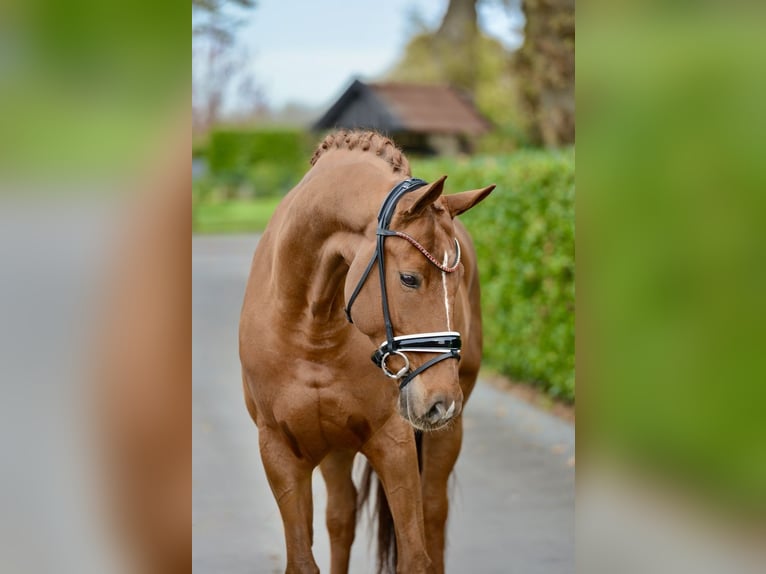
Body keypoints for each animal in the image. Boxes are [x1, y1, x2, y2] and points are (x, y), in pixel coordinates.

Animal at [239, 130, 494, 574]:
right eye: (409, 278)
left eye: (458, 278)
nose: (441, 402)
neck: (311, 328)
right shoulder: (278, 451)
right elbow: (303, 559)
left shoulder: (393, 442)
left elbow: (416, 554)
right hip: (333, 447)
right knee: (341, 517)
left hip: (445, 435)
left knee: (433, 510)